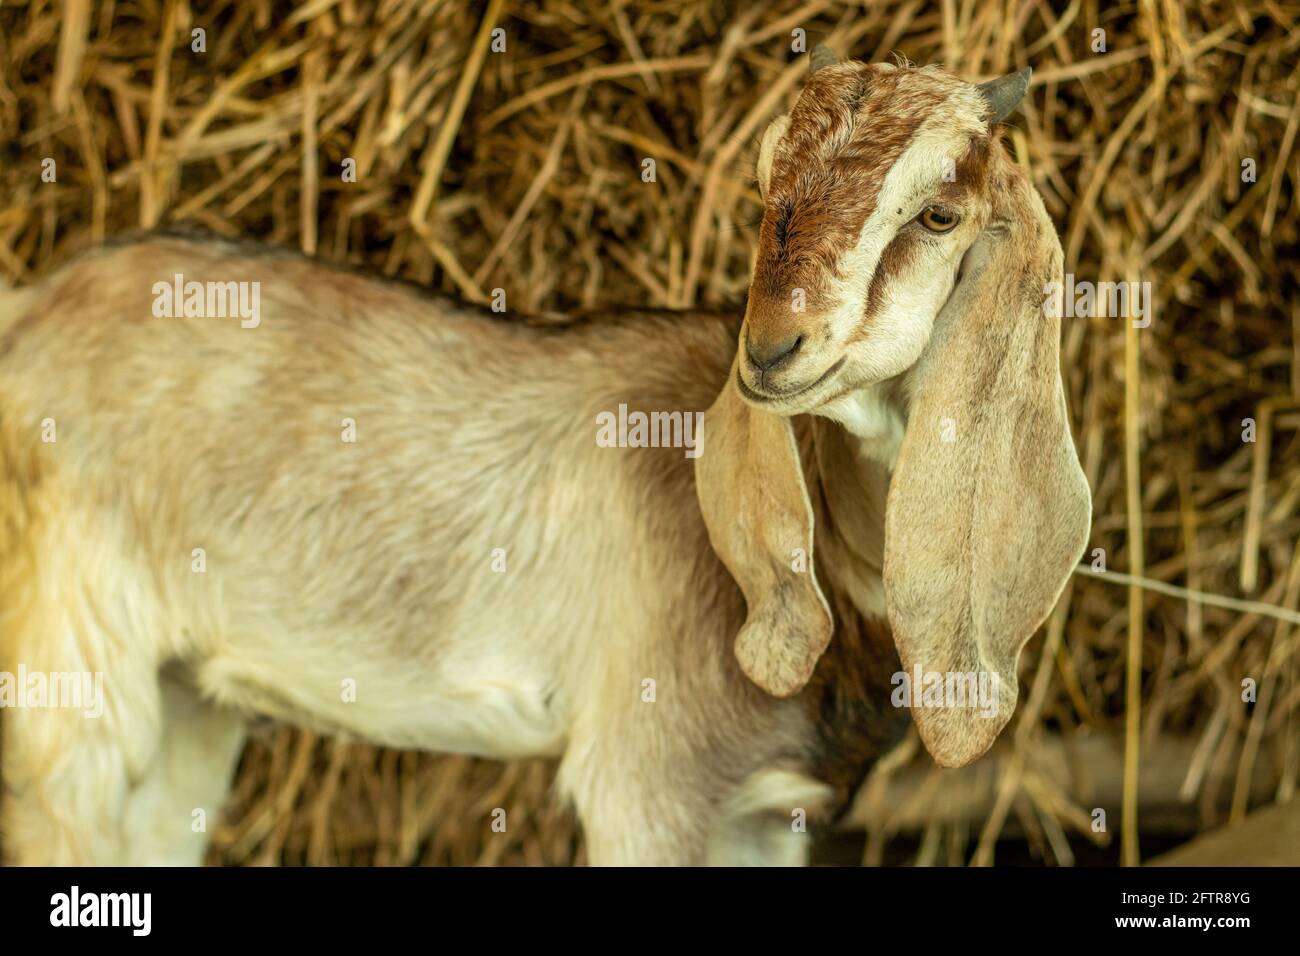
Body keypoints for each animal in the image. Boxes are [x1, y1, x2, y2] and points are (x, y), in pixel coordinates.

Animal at [0, 46, 1086, 868]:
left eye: (939, 213)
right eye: (766, 187)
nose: (773, 349)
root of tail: (30, 307)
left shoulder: (760, 813)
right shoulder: (646, 780)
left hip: (185, 695)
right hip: (64, 674)